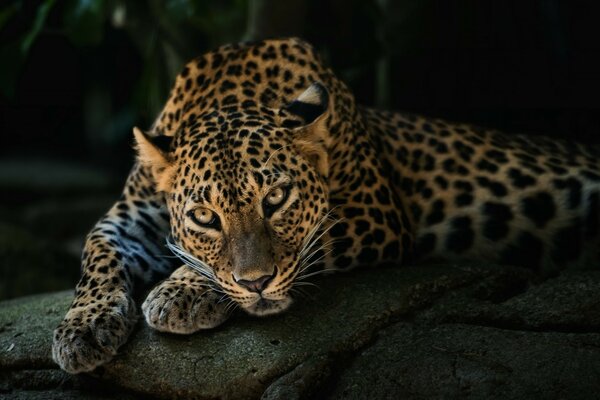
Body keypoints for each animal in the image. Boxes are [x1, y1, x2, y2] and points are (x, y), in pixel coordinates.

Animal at [52, 37, 600, 376]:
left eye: (276, 199)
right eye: (205, 217)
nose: (257, 284)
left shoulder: (376, 210)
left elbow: (307, 245)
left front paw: (180, 292)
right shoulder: (130, 216)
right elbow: (96, 252)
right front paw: (82, 328)